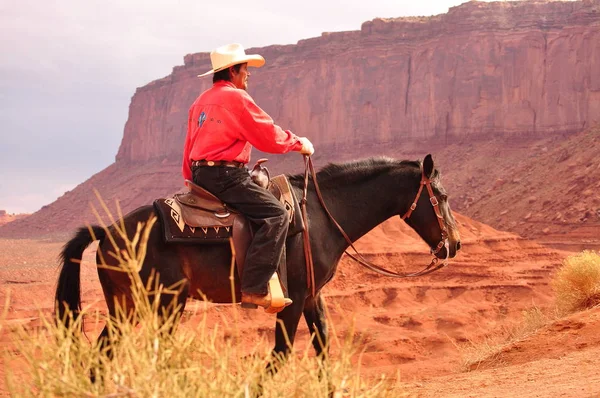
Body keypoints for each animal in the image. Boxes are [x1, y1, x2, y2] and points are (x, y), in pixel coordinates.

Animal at [55, 155, 460, 364]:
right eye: (440, 196)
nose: (454, 245)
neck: (320, 215)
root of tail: (107, 231)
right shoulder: (292, 299)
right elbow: (281, 354)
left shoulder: (313, 296)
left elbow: (323, 346)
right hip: (160, 304)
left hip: (127, 306)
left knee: (103, 354)